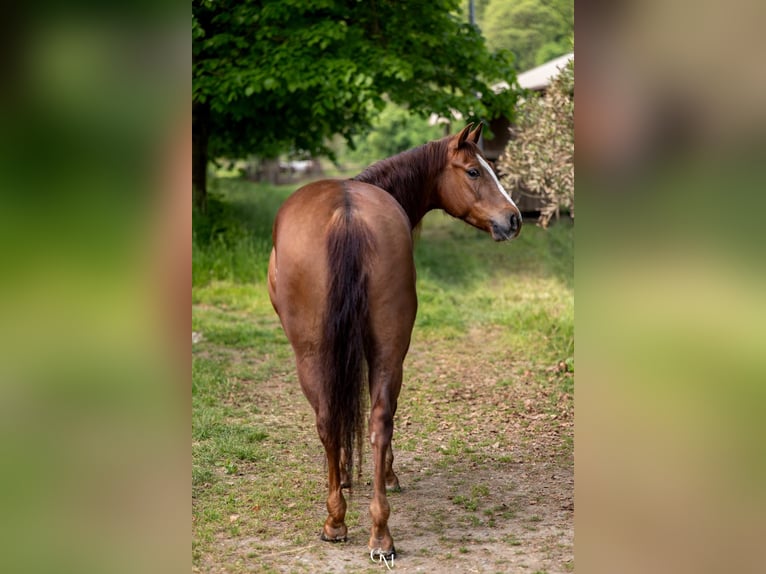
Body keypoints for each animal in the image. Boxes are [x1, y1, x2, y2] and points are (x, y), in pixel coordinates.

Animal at [267, 123, 521, 561]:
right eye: (474, 171)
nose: (514, 218)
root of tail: (347, 214)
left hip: (314, 354)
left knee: (334, 419)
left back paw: (338, 521)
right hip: (383, 348)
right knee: (375, 419)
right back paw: (379, 532)